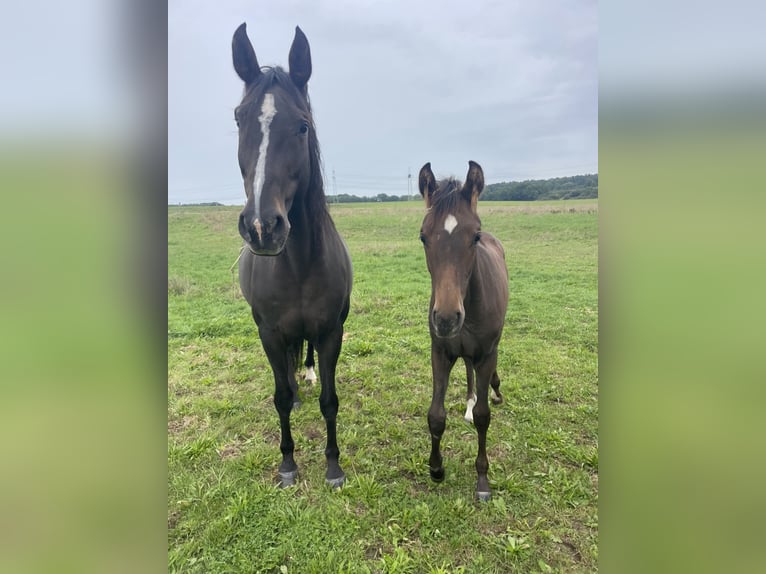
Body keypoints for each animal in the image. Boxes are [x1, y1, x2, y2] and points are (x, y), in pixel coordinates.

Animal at [232, 23, 352, 489]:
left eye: (302, 126)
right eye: (239, 118)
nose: (263, 226)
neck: (298, 264)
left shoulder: (331, 331)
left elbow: (330, 400)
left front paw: (333, 467)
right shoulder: (268, 332)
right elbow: (280, 396)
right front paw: (287, 464)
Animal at [417, 161, 509, 501]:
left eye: (475, 236)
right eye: (423, 237)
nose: (446, 319)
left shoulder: (486, 353)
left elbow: (484, 417)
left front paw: (482, 480)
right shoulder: (440, 352)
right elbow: (435, 415)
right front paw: (436, 468)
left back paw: (492, 392)